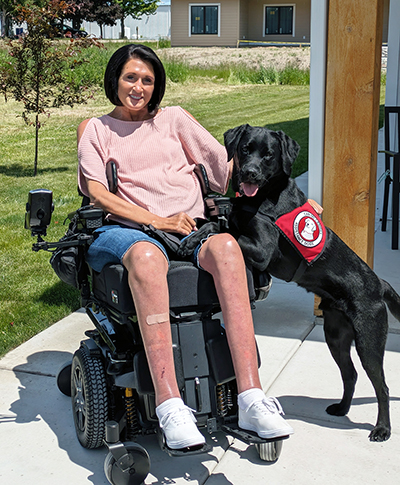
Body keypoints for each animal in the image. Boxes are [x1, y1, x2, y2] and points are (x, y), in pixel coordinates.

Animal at [180, 124, 400, 438]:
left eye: (269, 155)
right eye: (245, 149)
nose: (249, 173)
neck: (259, 199)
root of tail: (380, 284)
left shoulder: (262, 251)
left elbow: (226, 233)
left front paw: (199, 237)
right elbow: (215, 224)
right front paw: (191, 239)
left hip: (369, 339)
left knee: (381, 386)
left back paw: (382, 429)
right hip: (335, 336)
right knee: (350, 374)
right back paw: (342, 409)